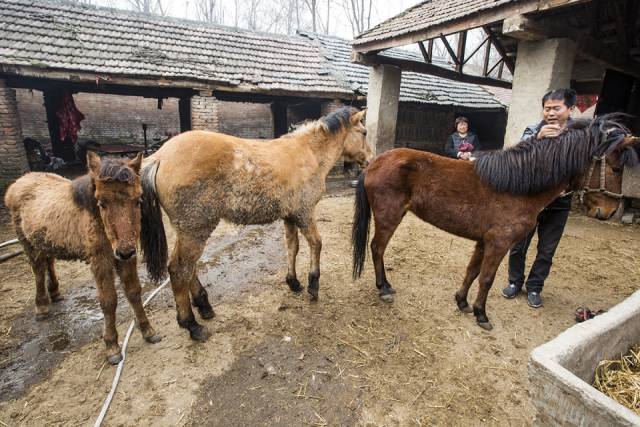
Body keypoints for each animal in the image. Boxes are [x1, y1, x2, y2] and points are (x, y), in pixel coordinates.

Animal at [140, 106, 370, 342]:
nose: (370, 160)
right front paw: (313, 285)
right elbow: (316, 243)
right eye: (364, 132)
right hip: (195, 228)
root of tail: (159, 157)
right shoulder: (304, 213)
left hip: (188, 229)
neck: (308, 153)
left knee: (188, 267)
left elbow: (292, 248)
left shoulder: (290, 216)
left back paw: (204, 306)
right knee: (179, 269)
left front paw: (294, 282)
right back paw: (192, 324)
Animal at [352, 116, 636, 332]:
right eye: (616, 168)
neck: (518, 187)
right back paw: (384, 289)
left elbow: (472, 272)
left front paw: (462, 302)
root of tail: (374, 163)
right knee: (377, 248)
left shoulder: (483, 241)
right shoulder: (499, 243)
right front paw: (482, 314)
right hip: (389, 217)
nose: (609, 212)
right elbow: (486, 278)